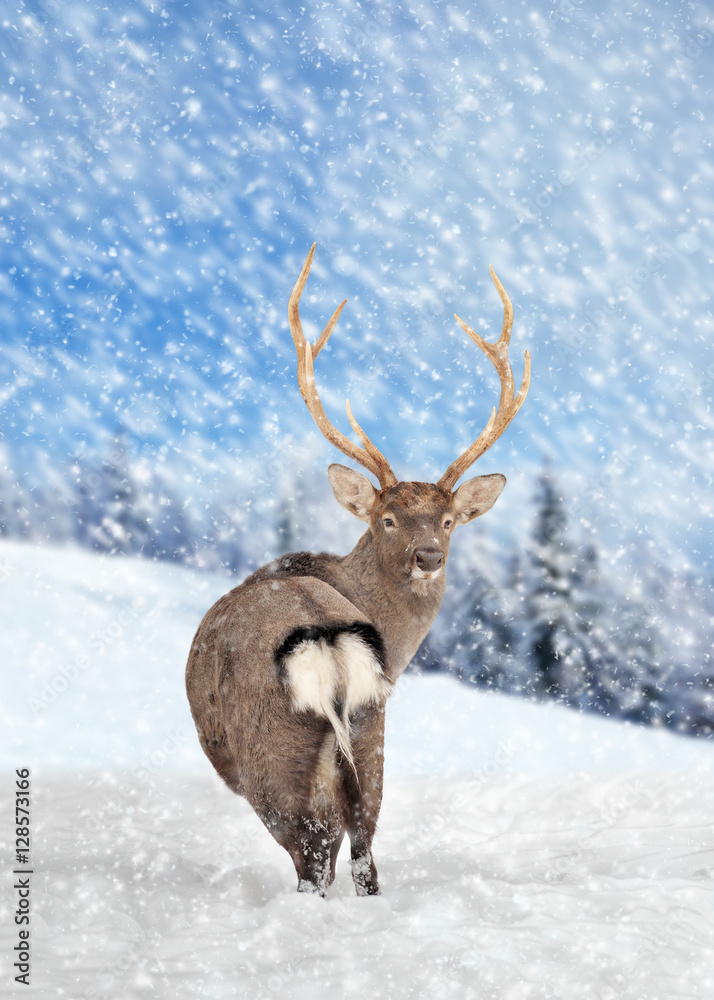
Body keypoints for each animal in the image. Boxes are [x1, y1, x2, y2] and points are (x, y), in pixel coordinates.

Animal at [185, 242, 528, 900]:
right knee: (366, 852)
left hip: (276, 754)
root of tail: (326, 640)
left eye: (449, 520)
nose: (429, 556)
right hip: (372, 733)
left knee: (313, 861)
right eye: (388, 518)